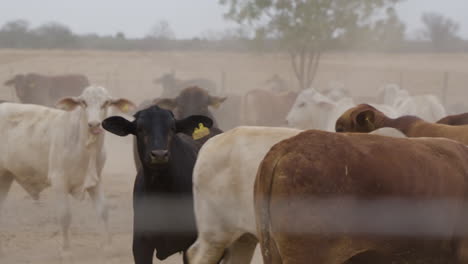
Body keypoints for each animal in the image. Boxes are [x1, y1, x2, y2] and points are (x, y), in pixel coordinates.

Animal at [0, 86, 135, 260]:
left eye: (106, 103)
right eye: (83, 102)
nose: (94, 124)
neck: (84, 146)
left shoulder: (96, 180)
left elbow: (103, 211)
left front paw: (109, 247)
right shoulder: (59, 181)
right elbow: (65, 216)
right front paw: (66, 251)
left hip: (5, 176)